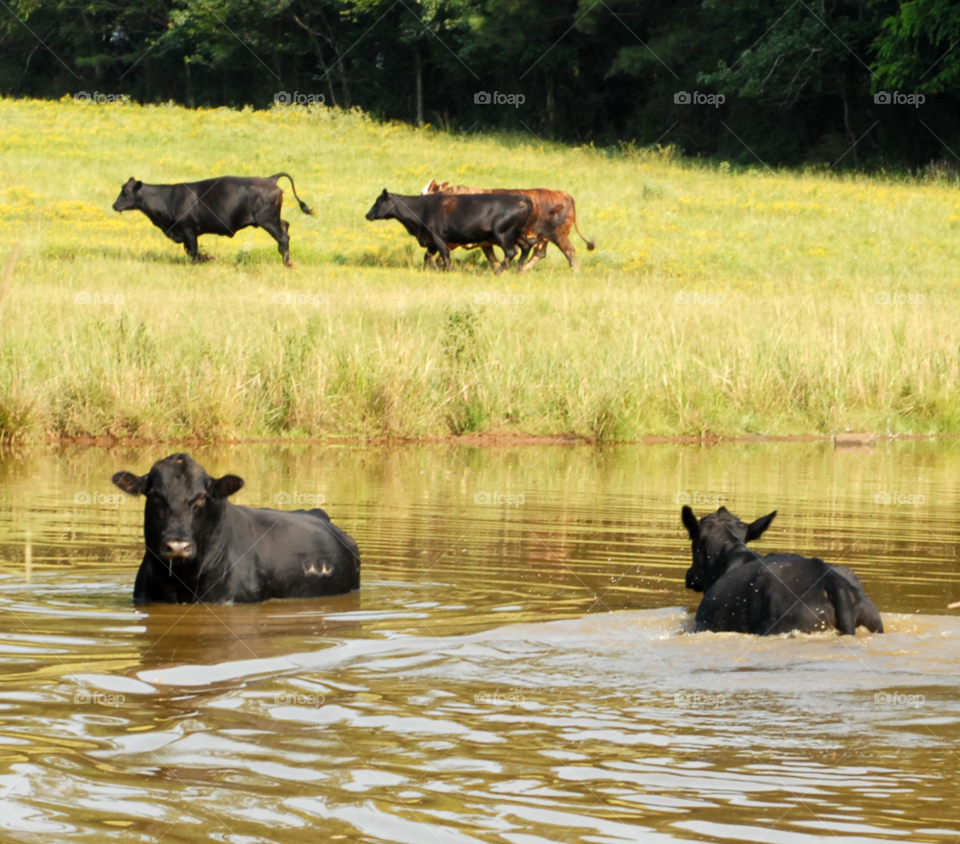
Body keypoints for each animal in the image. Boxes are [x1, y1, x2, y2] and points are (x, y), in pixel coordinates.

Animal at [111, 173, 313, 267]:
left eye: (126, 191)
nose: (114, 205)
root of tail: (270, 179)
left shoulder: (189, 230)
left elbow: (193, 252)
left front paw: (206, 258)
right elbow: (191, 252)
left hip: (268, 220)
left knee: (283, 237)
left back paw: (287, 263)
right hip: (272, 219)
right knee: (285, 226)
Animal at [365, 189, 533, 273]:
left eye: (378, 202)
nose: (367, 215)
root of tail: (520, 198)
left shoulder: (438, 236)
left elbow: (445, 256)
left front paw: (450, 271)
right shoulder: (430, 241)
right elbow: (428, 256)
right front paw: (430, 269)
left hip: (504, 234)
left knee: (511, 252)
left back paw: (498, 271)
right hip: (518, 233)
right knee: (526, 247)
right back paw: (518, 269)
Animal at [421, 179, 595, 272]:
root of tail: (565, 195)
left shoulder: (454, 239)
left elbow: (435, 254)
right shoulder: (484, 242)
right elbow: (491, 256)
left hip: (559, 234)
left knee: (569, 250)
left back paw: (575, 271)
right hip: (542, 237)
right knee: (540, 253)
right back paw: (522, 269)